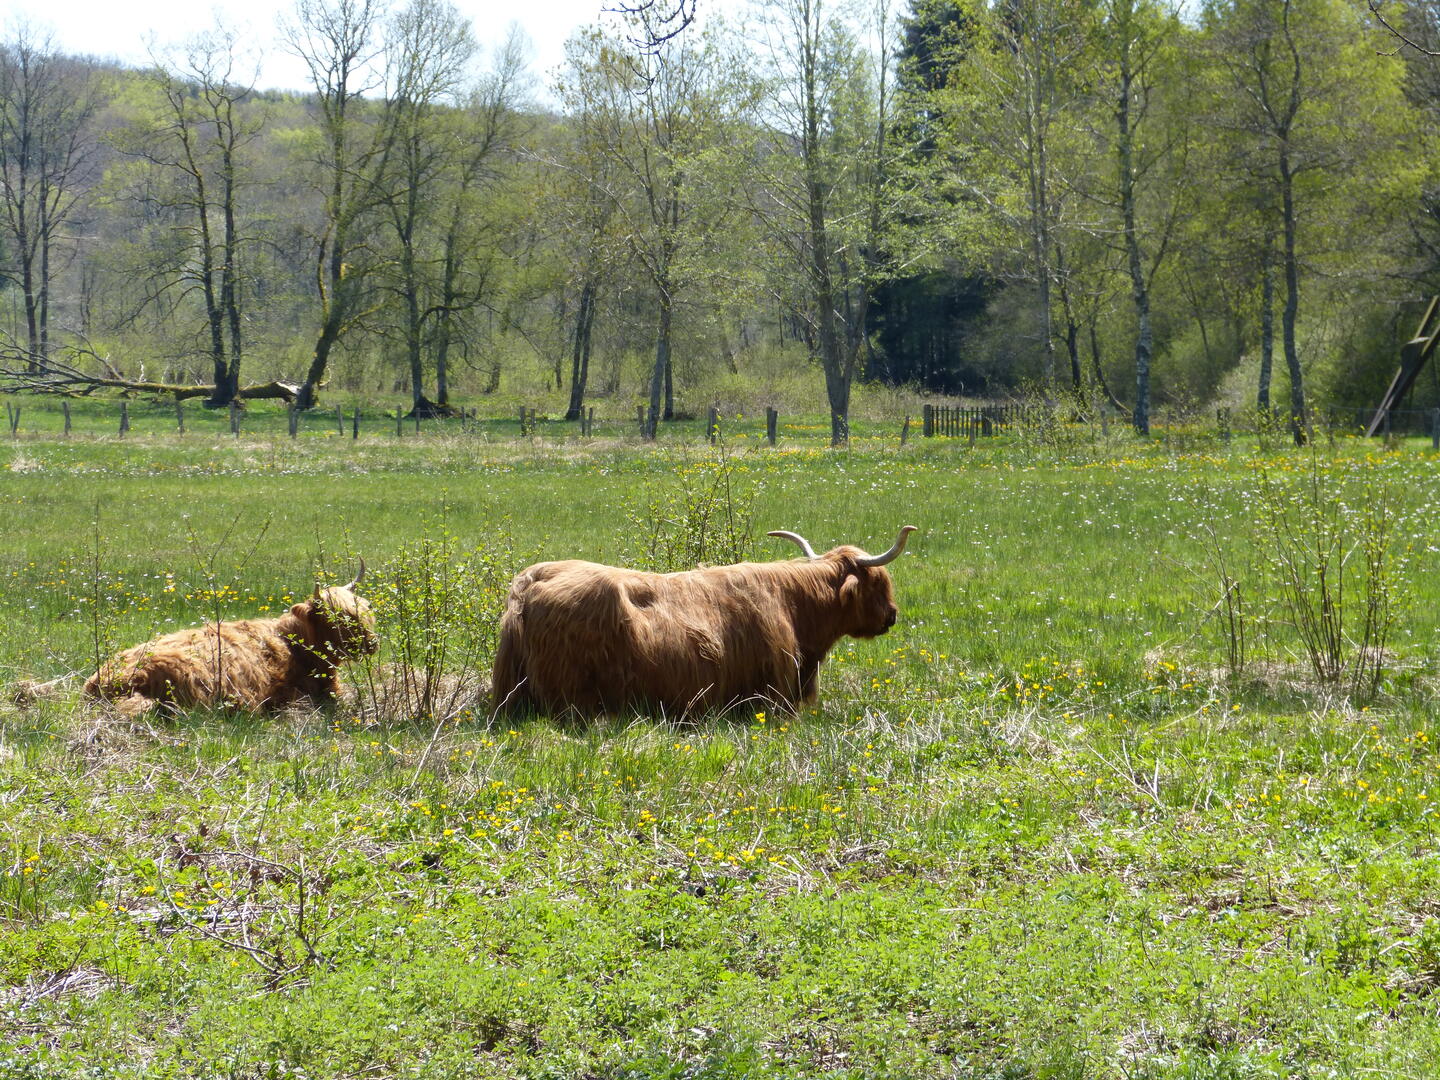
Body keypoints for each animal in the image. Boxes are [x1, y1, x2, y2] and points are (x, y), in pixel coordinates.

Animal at [490, 525, 917, 717]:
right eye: (879, 583)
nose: (892, 615)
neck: (794, 607)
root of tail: (532, 579)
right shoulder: (774, 695)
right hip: (573, 699)